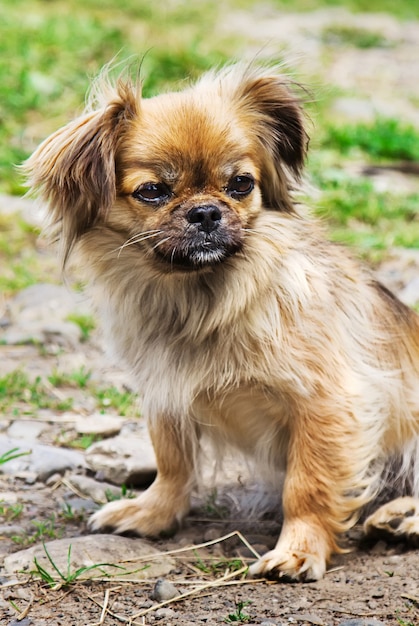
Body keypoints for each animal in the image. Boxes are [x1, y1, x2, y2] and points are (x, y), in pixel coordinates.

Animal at [24, 63, 419, 580]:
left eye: (241, 184)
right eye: (153, 191)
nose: (206, 211)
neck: (202, 298)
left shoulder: (328, 402)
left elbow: (307, 484)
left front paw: (299, 549)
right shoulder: (166, 392)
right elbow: (172, 460)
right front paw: (154, 512)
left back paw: (405, 517)